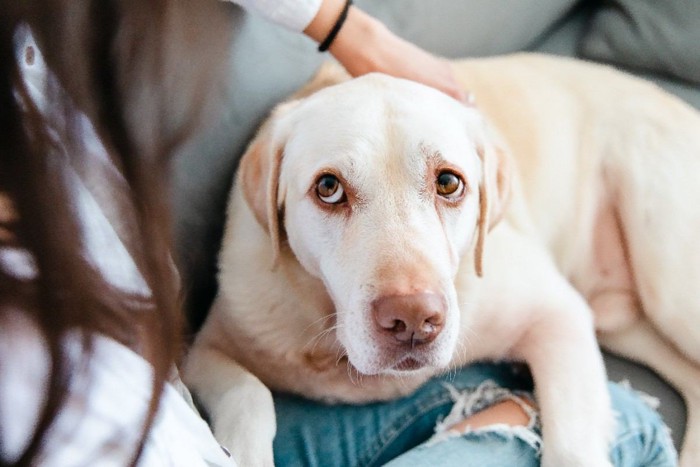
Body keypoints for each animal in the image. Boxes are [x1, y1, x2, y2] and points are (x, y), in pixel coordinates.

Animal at [185, 54, 700, 467]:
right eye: (328, 188)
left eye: (449, 183)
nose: (413, 319)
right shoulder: (206, 348)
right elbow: (250, 395)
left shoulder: (560, 316)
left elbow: (572, 445)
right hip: (624, 320)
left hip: (668, 288)